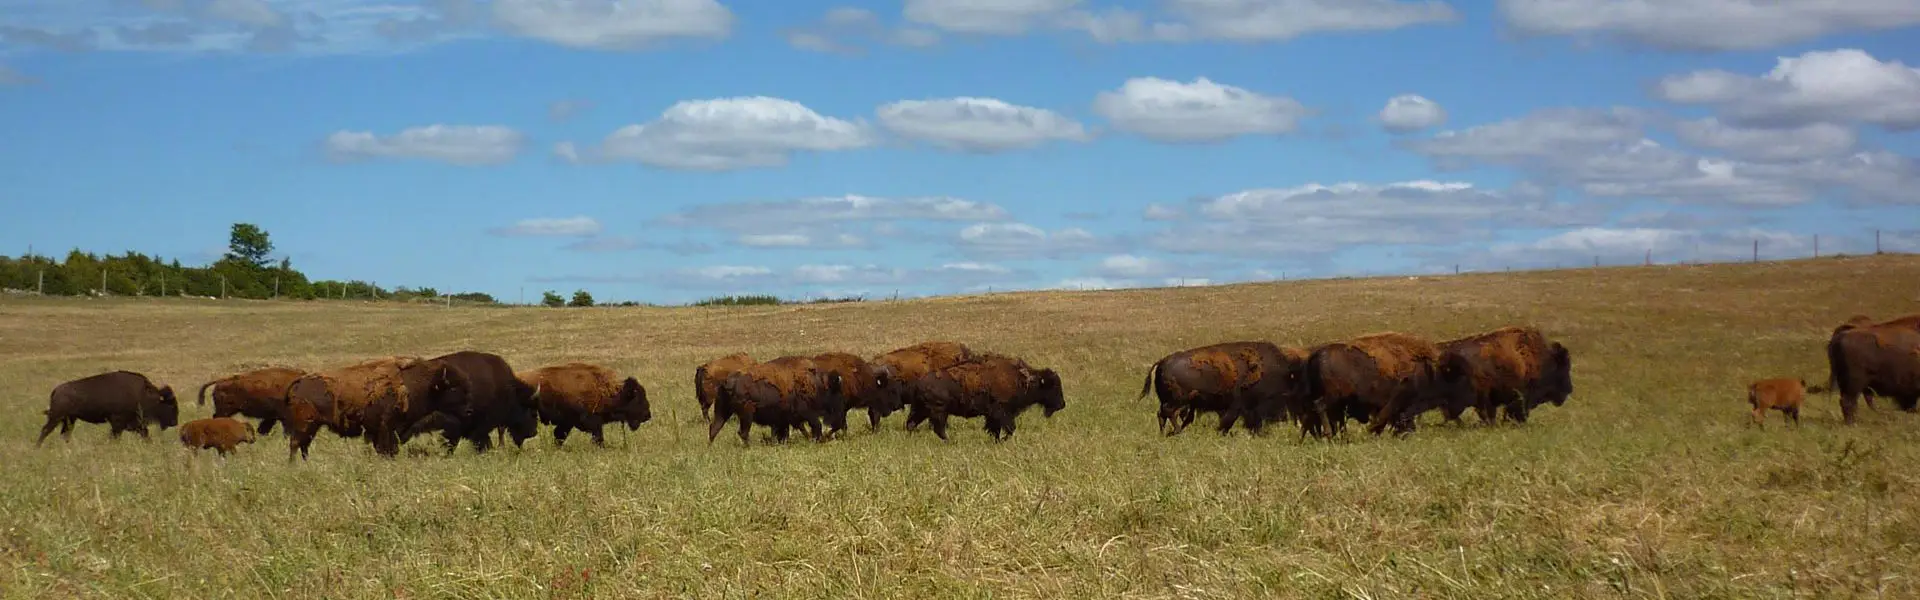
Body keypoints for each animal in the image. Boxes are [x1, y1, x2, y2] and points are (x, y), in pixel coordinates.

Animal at [37, 370, 180, 444]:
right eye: (170, 405)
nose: (175, 422)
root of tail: (56, 390)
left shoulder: (134, 424)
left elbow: (145, 434)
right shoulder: (118, 422)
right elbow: (114, 436)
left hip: (69, 419)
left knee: (65, 433)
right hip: (56, 417)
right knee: (45, 430)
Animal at [519, 362, 651, 448]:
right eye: (638, 399)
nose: (648, 415)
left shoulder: (567, 422)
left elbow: (559, 434)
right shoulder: (589, 420)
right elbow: (597, 434)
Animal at [708, 356, 847, 445]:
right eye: (837, 393)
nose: (840, 420)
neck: (818, 385)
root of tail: (728, 381)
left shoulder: (784, 419)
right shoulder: (807, 413)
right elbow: (815, 426)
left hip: (723, 411)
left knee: (714, 428)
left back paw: (711, 448)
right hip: (746, 414)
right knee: (742, 432)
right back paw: (748, 447)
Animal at [900, 353, 1065, 442]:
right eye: (1053, 386)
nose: (1062, 404)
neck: (1022, 379)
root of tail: (918, 383)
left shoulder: (993, 416)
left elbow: (995, 430)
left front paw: (996, 441)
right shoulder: (1002, 412)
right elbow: (1010, 429)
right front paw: (1002, 441)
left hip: (922, 410)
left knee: (911, 423)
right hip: (939, 411)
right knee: (938, 428)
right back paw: (951, 441)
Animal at [1139, 341, 1305, 436]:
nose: (1284, 417)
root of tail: (1163, 361)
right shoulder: (1238, 406)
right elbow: (1229, 420)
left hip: (1174, 401)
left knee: (1163, 414)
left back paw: (1167, 433)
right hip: (1177, 401)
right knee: (1168, 413)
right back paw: (1178, 432)